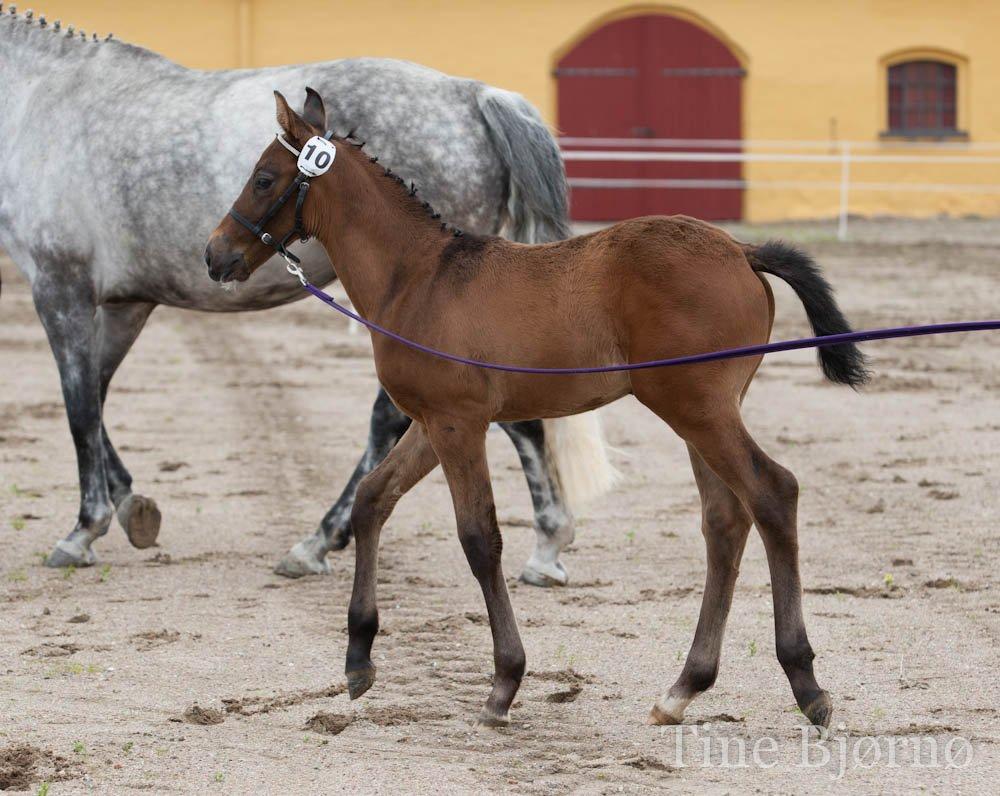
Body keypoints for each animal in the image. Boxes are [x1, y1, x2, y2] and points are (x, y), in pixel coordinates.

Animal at [0, 7, 612, 584]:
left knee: (397, 420)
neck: (37, 101)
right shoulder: (125, 304)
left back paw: (322, 540)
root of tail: (473, 93)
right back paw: (545, 543)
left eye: (265, 178)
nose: (213, 254)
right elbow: (96, 398)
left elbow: (79, 405)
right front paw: (132, 506)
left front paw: (84, 529)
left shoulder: (60, 288)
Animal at [209, 91, 868, 728]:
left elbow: (479, 537)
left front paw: (504, 683)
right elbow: (373, 499)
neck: (419, 278)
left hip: (697, 408)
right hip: (703, 413)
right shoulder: (434, 422)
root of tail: (740, 250)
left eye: (264, 178)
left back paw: (806, 685)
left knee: (772, 493)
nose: (215, 255)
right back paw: (682, 689)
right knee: (724, 521)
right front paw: (358, 658)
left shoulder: (457, 424)